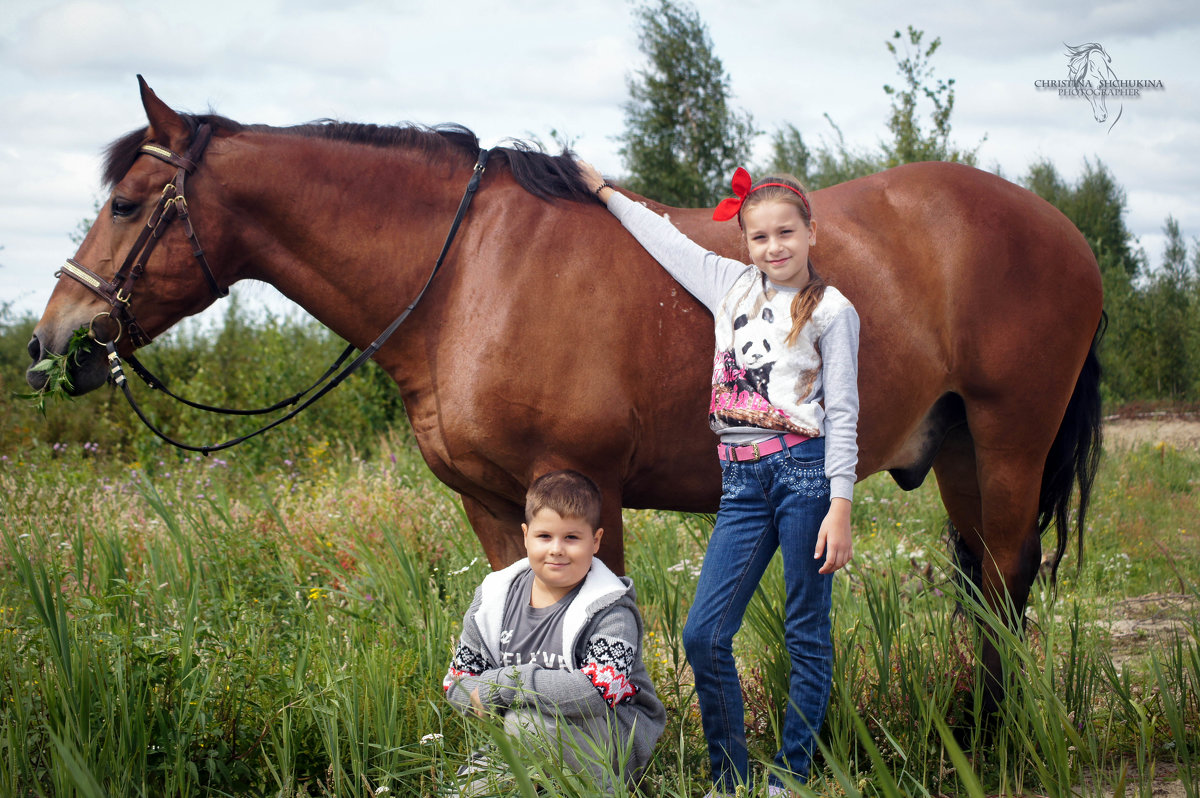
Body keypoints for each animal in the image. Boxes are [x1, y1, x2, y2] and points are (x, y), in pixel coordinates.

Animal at [28, 79, 1099, 705]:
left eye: (126, 203)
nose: (52, 345)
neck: (466, 277)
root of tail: (1061, 230)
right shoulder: (492, 505)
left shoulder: (586, 488)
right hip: (958, 451)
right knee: (986, 591)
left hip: (1007, 443)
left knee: (1006, 580)